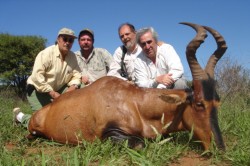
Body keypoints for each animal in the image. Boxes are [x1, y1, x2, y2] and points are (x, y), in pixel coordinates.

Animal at [26, 22, 227, 151]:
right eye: (199, 104)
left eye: (217, 103)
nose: (220, 148)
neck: (134, 102)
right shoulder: (111, 133)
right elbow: (140, 144)